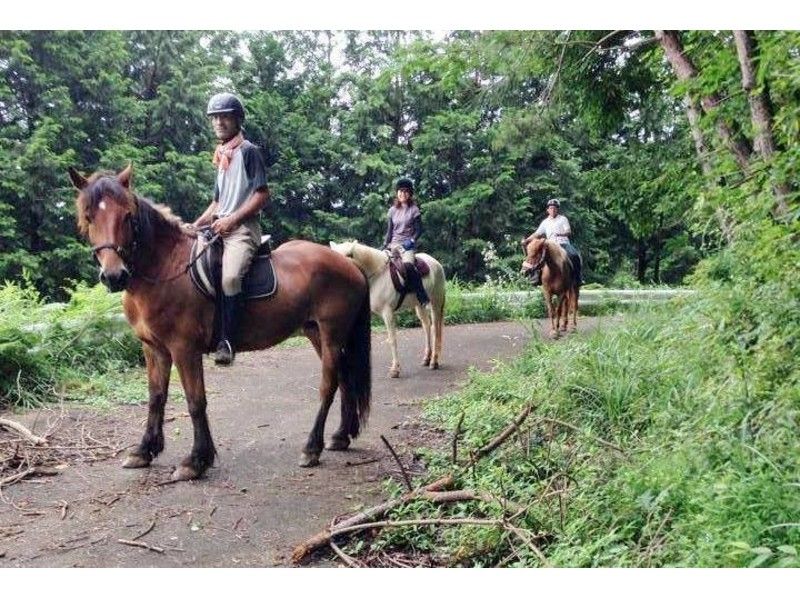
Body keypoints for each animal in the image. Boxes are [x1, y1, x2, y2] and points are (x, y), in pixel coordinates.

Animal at [69, 164, 372, 482]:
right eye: (88, 216)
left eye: (128, 216)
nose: (114, 276)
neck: (166, 268)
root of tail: (348, 263)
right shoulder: (154, 349)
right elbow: (156, 397)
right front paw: (144, 451)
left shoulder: (184, 349)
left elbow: (195, 401)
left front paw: (196, 461)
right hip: (317, 334)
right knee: (344, 379)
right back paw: (340, 436)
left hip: (332, 334)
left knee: (328, 385)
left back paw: (312, 448)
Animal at [330, 240, 444, 378]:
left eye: (349, 255)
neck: (377, 276)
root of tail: (436, 263)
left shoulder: (388, 313)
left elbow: (392, 340)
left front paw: (395, 370)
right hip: (419, 306)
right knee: (426, 326)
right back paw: (427, 358)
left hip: (435, 303)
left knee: (435, 329)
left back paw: (434, 361)